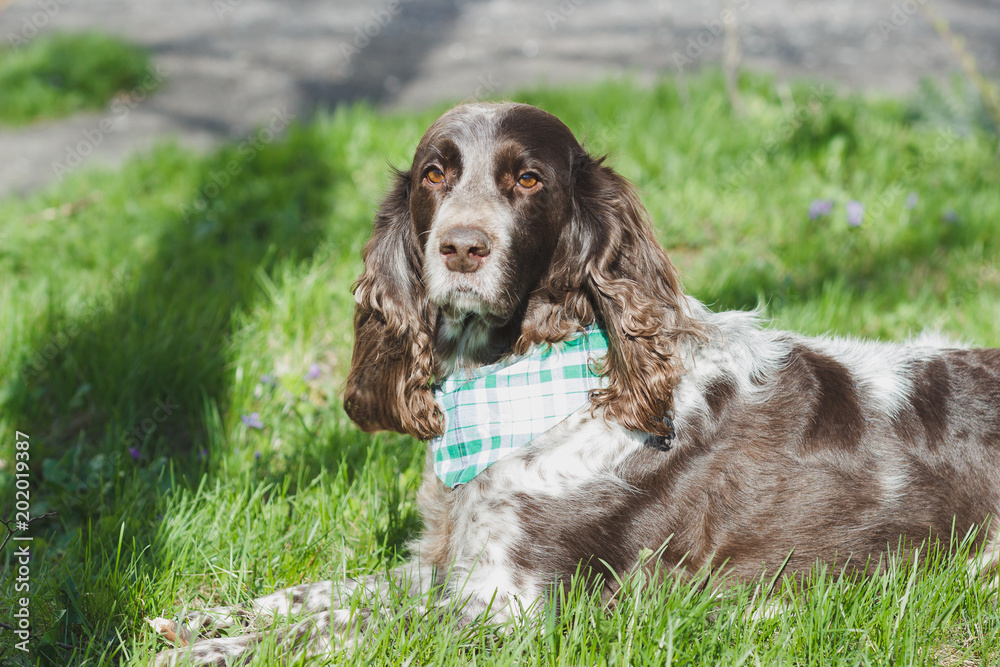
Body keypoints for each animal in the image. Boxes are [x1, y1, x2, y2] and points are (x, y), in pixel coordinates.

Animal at [150, 102, 1000, 664]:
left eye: (528, 178)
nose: (462, 246)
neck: (522, 385)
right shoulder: (449, 565)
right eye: (435, 172)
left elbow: (339, 631)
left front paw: (213, 649)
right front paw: (205, 620)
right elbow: (325, 593)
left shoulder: (514, 609)